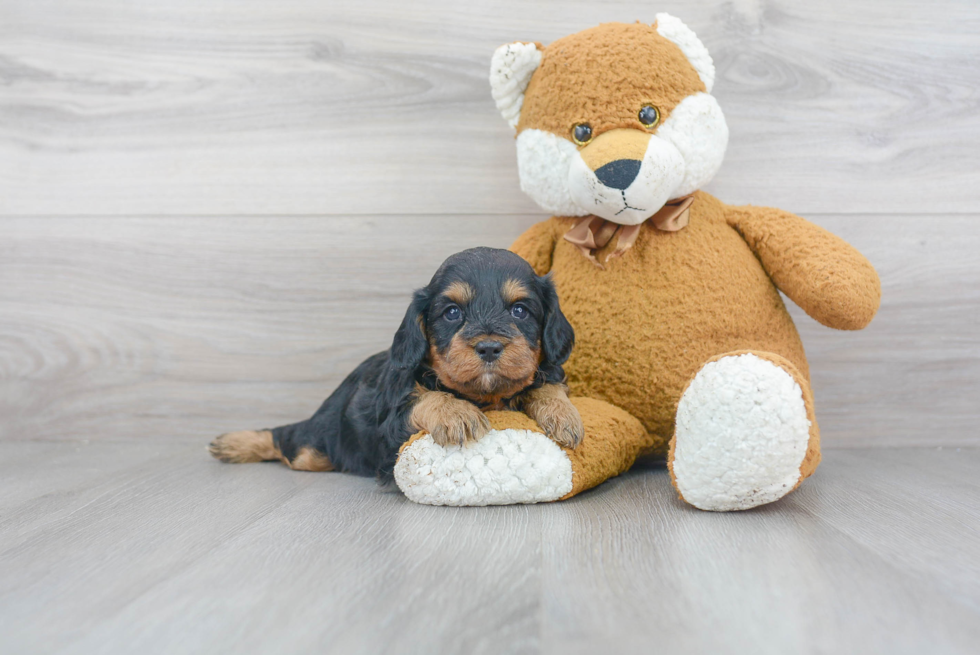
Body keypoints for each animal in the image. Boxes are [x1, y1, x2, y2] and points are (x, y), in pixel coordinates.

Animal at [209, 249, 580, 480]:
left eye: (520, 311)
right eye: (452, 313)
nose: (489, 347)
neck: (484, 397)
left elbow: (546, 383)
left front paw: (563, 414)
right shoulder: (392, 422)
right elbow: (424, 397)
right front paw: (455, 413)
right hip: (316, 445)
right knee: (286, 439)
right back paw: (233, 444)